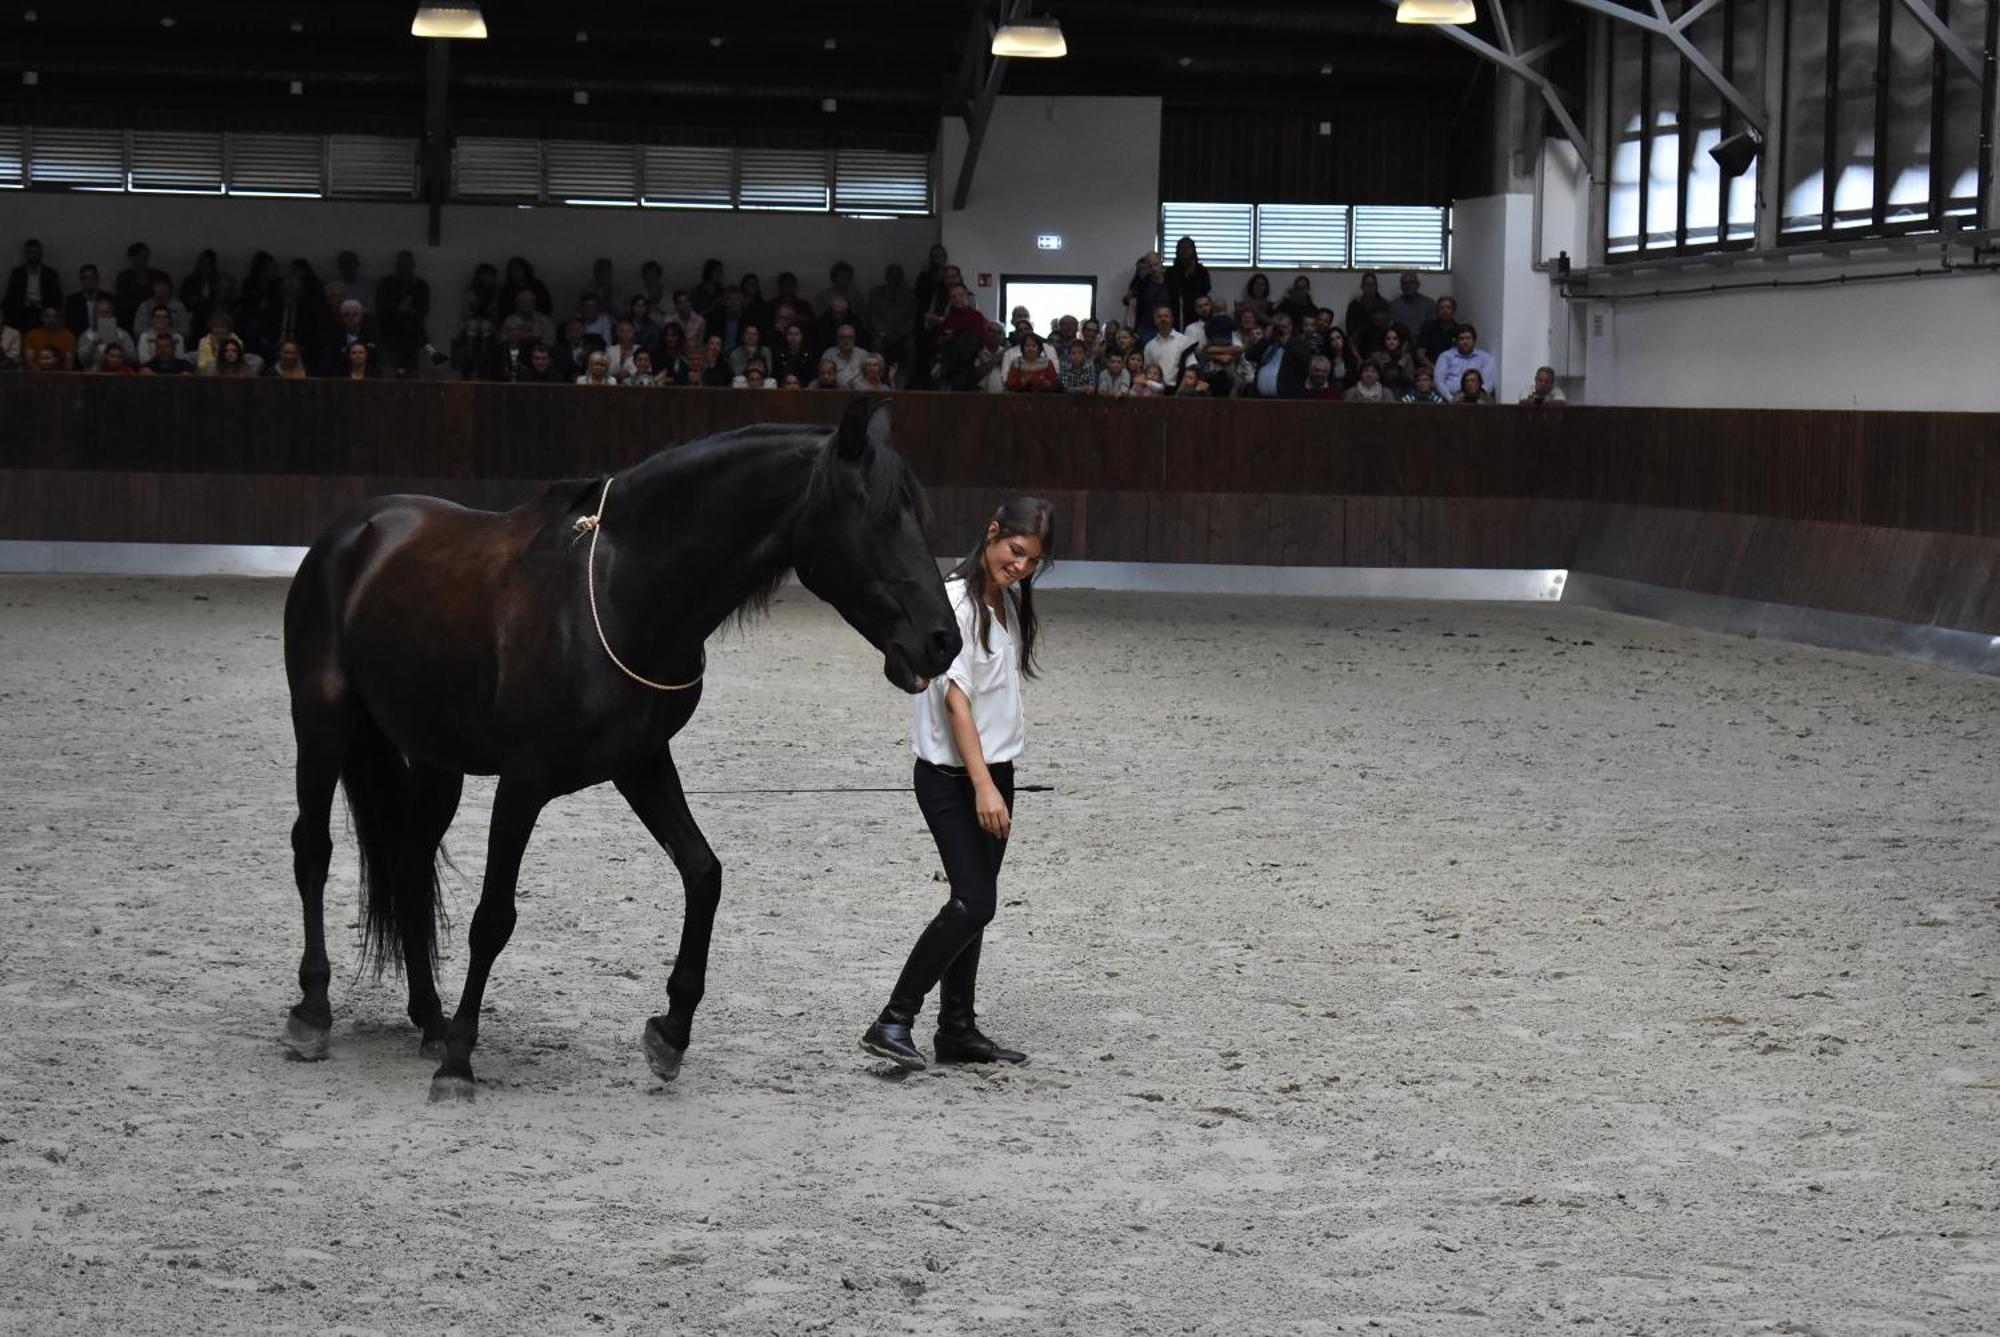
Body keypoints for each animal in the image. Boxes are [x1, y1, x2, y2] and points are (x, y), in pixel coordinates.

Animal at [282, 402, 960, 1104]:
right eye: (879, 517)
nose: (943, 641)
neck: (616, 595)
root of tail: (353, 534)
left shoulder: (641, 763)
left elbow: (703, 873)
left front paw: (670, 1034)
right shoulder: (523, 782)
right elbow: (493, 916)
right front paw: (460, 1064)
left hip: (439, 759)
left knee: (409, 865)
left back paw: (429, 1019)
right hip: (323, 722)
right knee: (313, 850)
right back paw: (314, 1013)